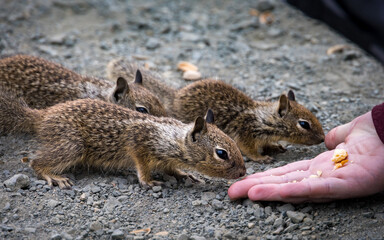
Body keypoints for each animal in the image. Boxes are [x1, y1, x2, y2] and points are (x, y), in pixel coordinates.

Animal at [0, 93, 246, 188]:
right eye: (221, 153)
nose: (243, 173)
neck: (174, 139)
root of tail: (42, 115)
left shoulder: (166, 158)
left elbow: (171, 169)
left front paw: (184, 174)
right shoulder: (139, 143)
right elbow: (142, 165)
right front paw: (148, 181)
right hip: (71, 145)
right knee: (35, 162)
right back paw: (53, 175)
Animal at [107, 58, 324, 161]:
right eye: (304, 124)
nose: (323, 139)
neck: (263, 118)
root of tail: (175, 95)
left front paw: (275, 146)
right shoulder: (246, 133)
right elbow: (249, 149)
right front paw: (261, 157)